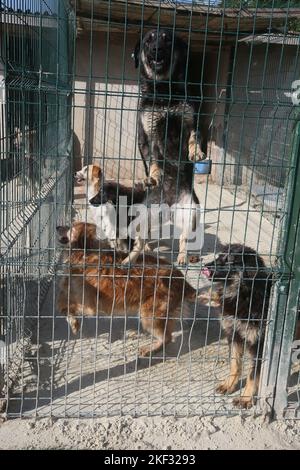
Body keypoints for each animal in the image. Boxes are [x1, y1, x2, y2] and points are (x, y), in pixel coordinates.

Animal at [200, 244, 274, 410]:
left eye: (229, 260)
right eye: (218, 256)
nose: (205, 267)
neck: (243, 293)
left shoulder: (259, 344)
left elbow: (253, 374)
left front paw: (246, 398)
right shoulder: (234, 334)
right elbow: (235, 364)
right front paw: (229, 384)